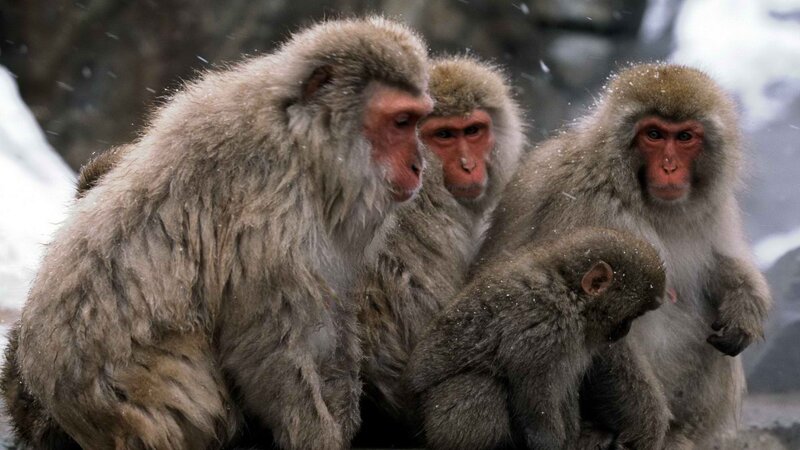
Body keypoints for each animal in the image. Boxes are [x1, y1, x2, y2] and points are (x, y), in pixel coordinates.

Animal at [5, 17, 432, 450]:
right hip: (152, 405)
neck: (303, 141)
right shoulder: (272, 215)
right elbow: (268, 344)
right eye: (401, 122)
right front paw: (315, 435)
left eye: (416, 121)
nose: (419, 165)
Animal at [406, 227, 666, 450]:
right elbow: (534, 393)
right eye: (629, 317)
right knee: (479, 385)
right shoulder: (547, 328)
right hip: (438, 419)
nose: (625, 331)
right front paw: (550, 443)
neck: (570, 291)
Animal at [474, 63, 772, 449]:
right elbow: (600, 320)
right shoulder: (592, 205)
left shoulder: (712, 210)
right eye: (654, 135)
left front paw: (745, 308)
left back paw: (680, 433)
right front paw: (648, 427)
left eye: (685, 137)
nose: (670, 168)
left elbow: (720, 265)